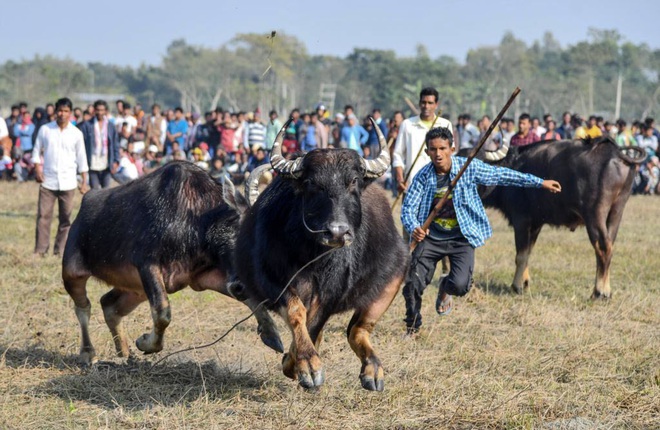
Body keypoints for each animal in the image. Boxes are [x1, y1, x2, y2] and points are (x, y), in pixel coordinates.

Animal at [62, 162, 286, 366]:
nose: (242, 285)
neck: (196, 219)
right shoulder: (148, 266)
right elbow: (162, 312)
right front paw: (145, 343)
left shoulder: (202, 277)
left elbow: (252, 301)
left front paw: (271, 335)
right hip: (72, 274)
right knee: (83, 307)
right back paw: (88, 353)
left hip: (135, 290)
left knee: (108, 304)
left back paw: (124, 352)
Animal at [231, 119, 408, 392]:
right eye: (312, 183)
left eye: (353, 181)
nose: (337, 231)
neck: (312, 257)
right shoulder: (271, 280)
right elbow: (297, 313)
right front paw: (305, 364)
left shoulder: (332, 294)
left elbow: (314, 326)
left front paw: (298, 364)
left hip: (392, 280)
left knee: (358, 329)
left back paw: (373, 372)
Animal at [476, 136, 648, 298]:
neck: (512, 166)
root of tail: (616, 153)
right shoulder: (535, 224)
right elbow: (528, 254)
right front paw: (525, 283)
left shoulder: (521, 221)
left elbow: (521, 255)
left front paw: (516, 286)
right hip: (617, 210)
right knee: (610, 245)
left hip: (595, 214)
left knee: (603, 247)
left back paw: (599, 292)